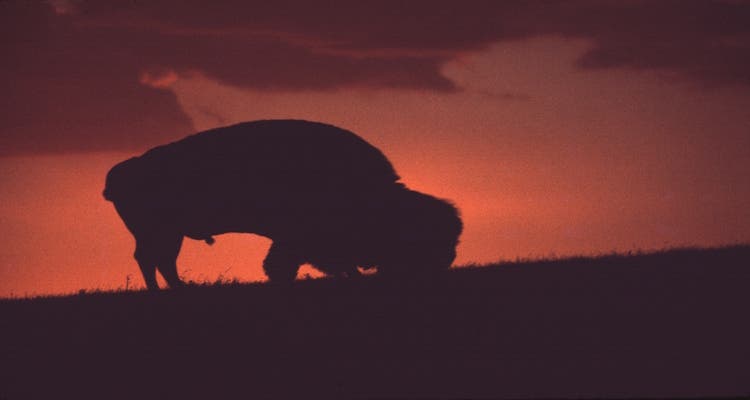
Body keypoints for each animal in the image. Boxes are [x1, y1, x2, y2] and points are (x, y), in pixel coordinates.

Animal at [104, 120, 462, 289]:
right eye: (422, 239)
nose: (444, 263)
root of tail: (121, 172)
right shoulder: (298, 239)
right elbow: (287, 264)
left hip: (167, 234)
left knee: (159, 260)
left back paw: (178, 289)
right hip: (160, 233)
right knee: (153, 260)